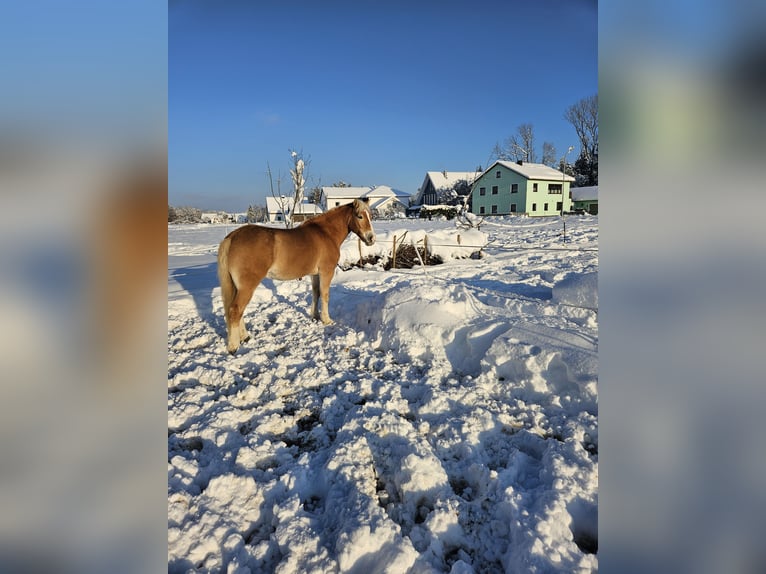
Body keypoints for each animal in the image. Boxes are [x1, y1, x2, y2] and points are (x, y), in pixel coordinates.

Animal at [218, 199, 376, 356]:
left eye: (370, 216)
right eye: (359, 216)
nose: (371, 239)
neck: (326, 233)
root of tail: (232, 237)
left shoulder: (315, 274)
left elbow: (316, 293)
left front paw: (315, 316)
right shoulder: (326, 272)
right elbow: (325, 295)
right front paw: (326, 320)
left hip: (238, 287)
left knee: (237, 311)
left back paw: (244, 337)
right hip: (247, 286)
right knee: (235, 310)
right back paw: (234, 346)